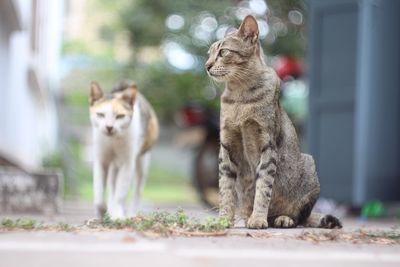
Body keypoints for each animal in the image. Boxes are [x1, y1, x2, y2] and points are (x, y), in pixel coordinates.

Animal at [90, 80, 159, 220]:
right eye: (100, 115)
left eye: (120, 116)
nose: (109, 127)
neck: (113, 141)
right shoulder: (101, 162)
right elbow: (99, 196)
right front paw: (102, 213)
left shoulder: (127, 164)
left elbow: (120, 195)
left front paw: (117, 215)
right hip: (114, 167)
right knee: (112, 187)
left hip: (142, 163)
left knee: (137, 192)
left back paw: (130, 214)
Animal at [206, 15, 340, 230]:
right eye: (208, 54)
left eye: (223, 52)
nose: (207, 66)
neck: (240, 97)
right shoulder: (226, 146)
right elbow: (225, 189)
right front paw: (224, 219)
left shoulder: (267, 145)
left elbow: (263, 187)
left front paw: (258, 219)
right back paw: (245, 217)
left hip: (309, 165)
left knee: (301, 217)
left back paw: (282, 218)